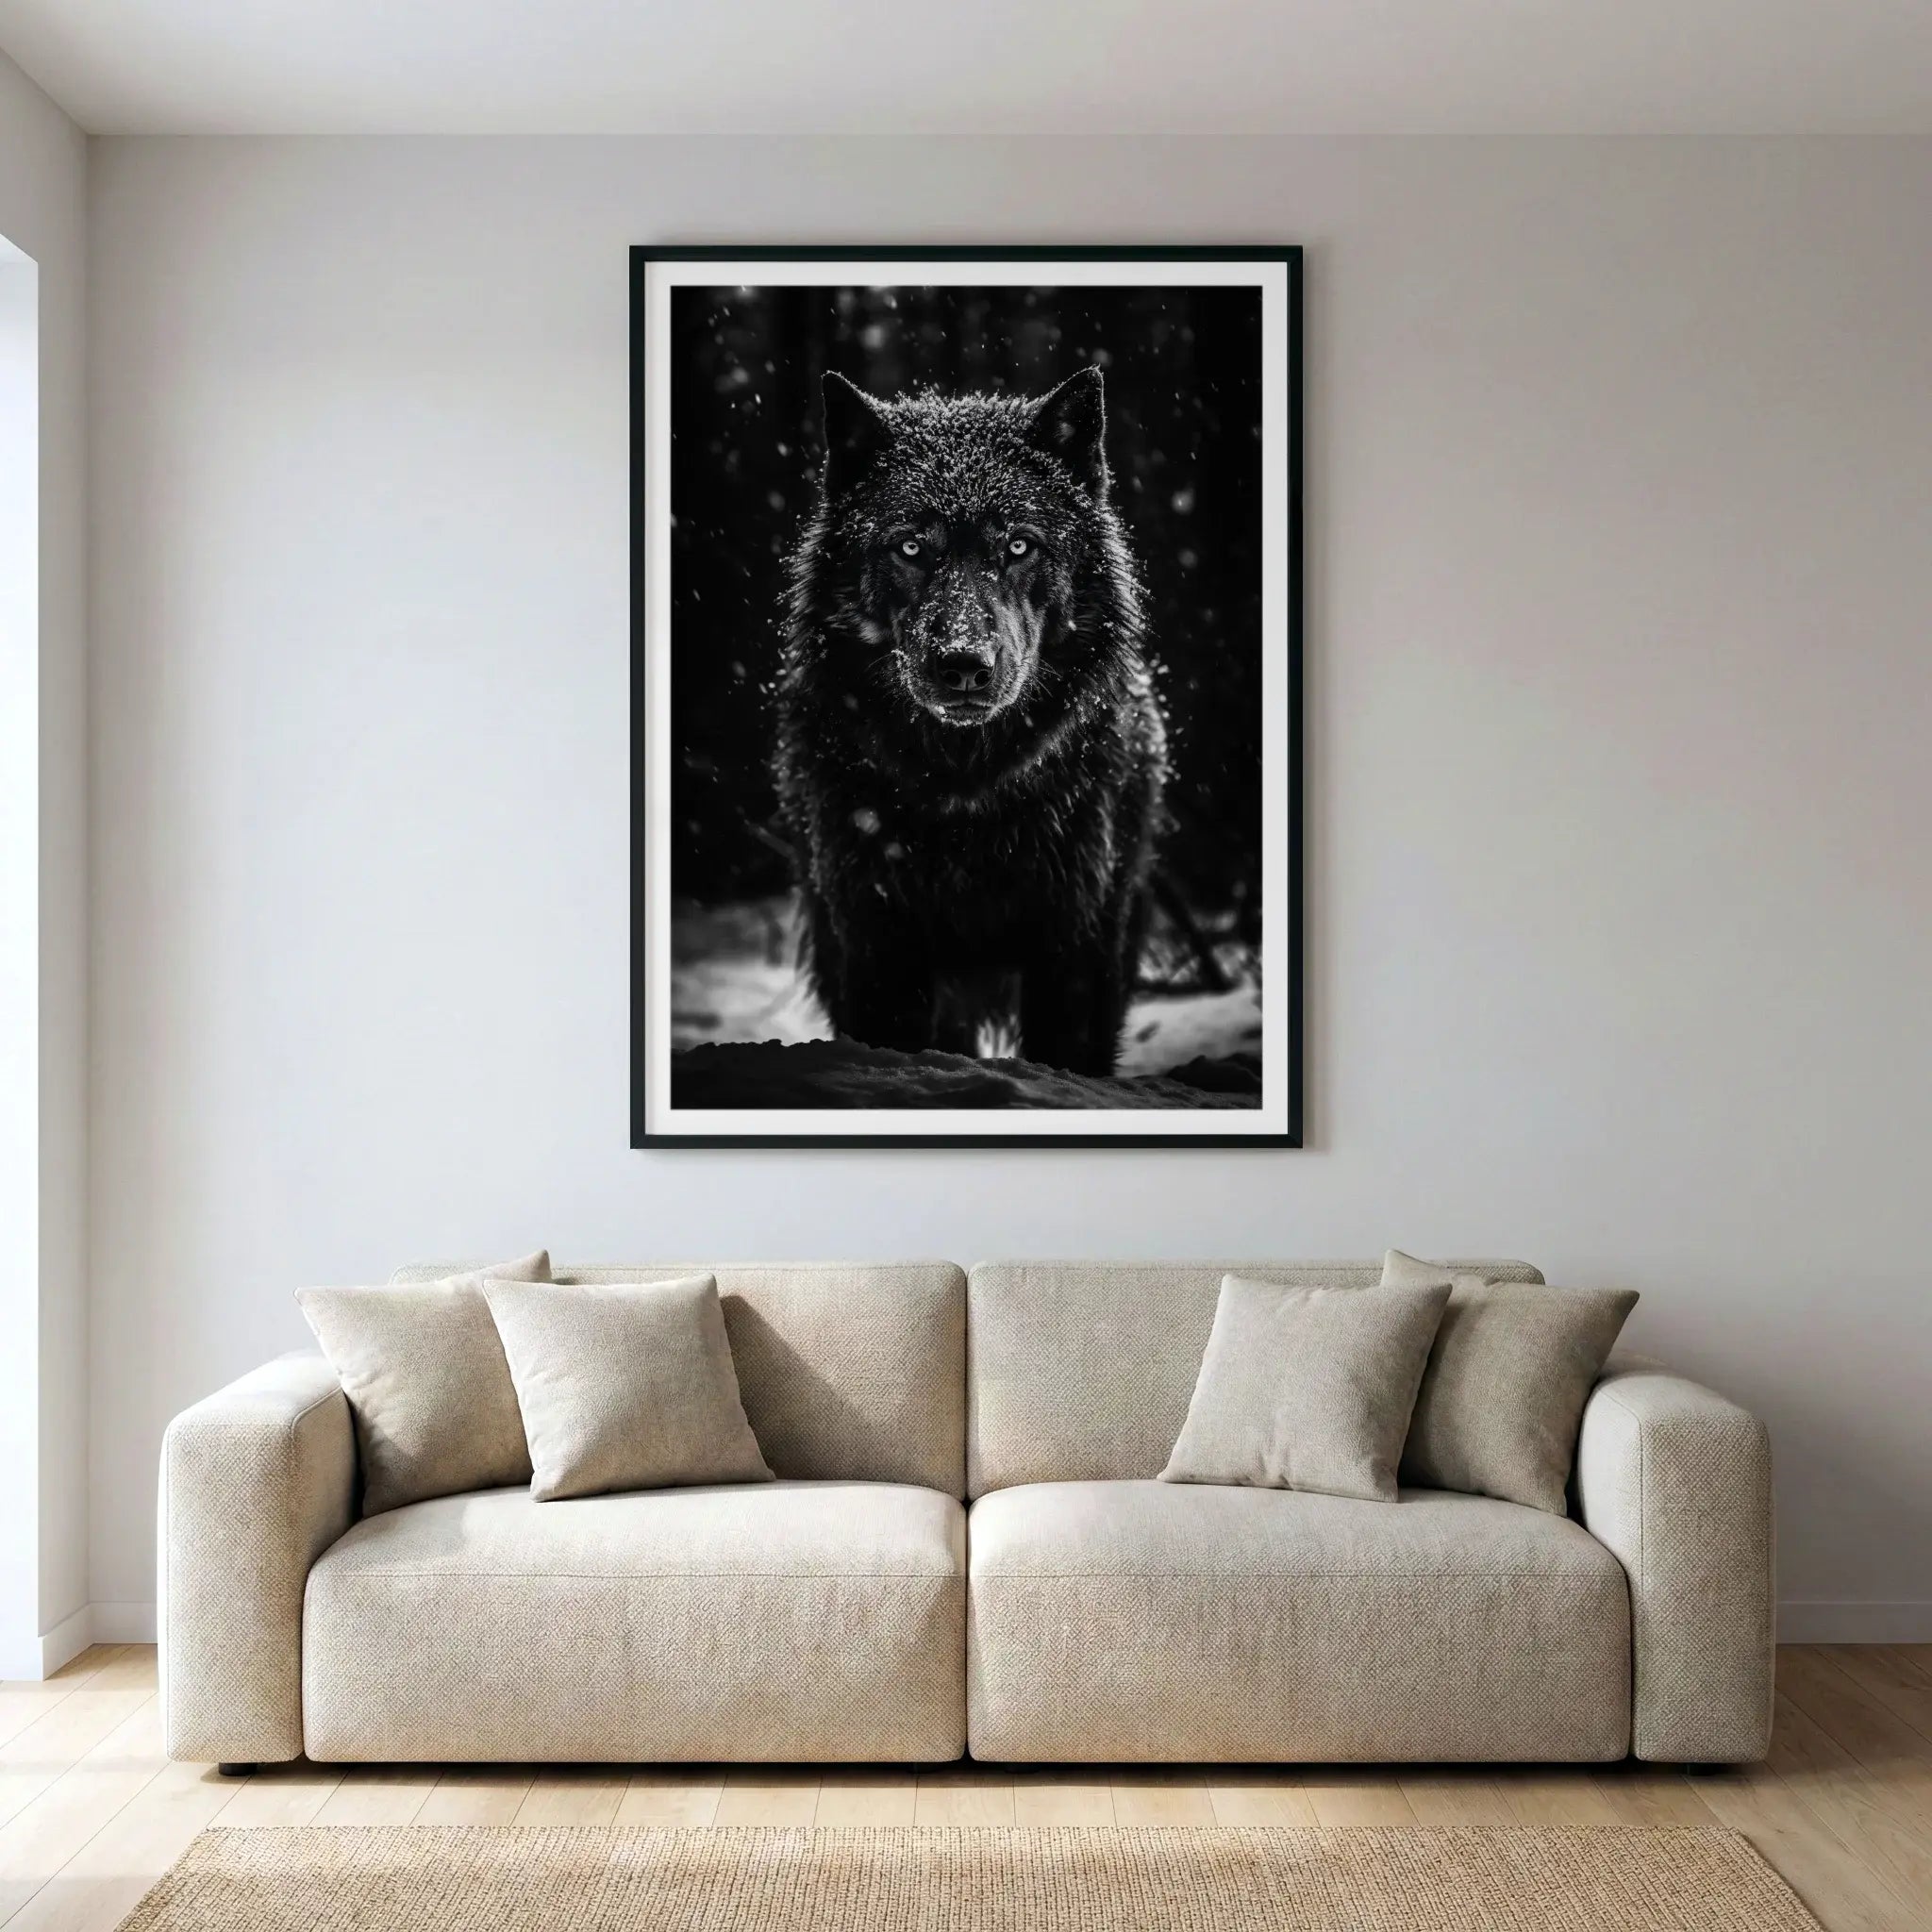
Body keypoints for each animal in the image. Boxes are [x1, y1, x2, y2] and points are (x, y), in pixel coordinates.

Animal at [773, 364, 1168, 1078]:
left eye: (1017, 545)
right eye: (910, 547)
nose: (962, 665)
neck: (965, 796)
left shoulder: (1076, 943)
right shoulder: (876, 940)